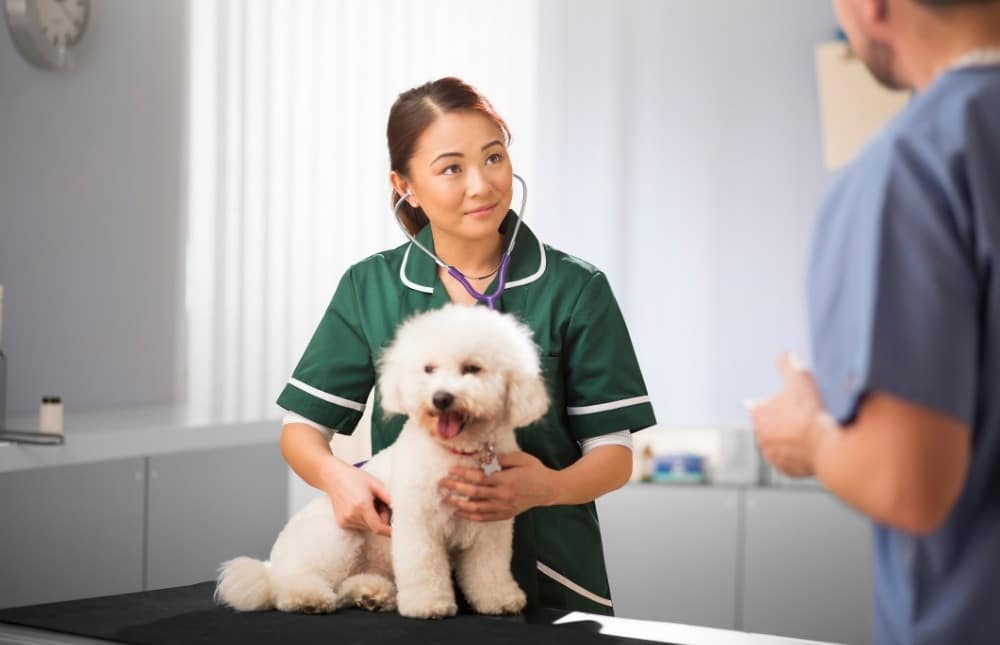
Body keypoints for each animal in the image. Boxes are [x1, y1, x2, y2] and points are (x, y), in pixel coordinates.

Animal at [214, 306, 552, 620]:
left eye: (472, 368)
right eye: (428, 369)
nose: (441, 398)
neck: (458, 451)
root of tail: (271, 565)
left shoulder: (491, 525)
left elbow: (489, 569)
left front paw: (499, 599)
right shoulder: (418, 521)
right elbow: (423, 566)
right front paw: (428, 604)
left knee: (349, 584)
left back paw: (371, 594)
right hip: (335, 537)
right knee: (290, 583)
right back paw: (307, 597)